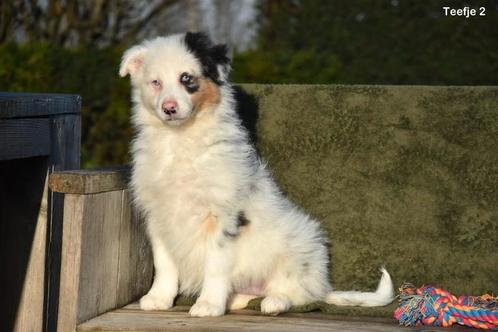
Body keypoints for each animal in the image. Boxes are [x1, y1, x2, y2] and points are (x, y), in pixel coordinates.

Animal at [118, 32, 394, 318]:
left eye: (187, 78)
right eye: (156, 83)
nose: (169, 108)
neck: (179, 139)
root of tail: (323, 285)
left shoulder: (223, 217)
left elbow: (214, 265)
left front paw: (208, 304)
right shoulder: (159, 216)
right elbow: (164, 263)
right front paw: (159, 298)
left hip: (298, 251)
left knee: (299, 295)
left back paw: (274, 302)